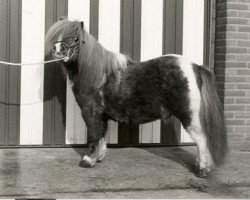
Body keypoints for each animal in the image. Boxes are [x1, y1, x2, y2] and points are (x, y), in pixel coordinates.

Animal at [44, 19, 227, 177]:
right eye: (58, 36)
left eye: (76, 38)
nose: (57, 49)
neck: (97, 75)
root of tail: (195, 67)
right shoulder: (102, 116)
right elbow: (102, 135)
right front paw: (99, 157)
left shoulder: (92, 114)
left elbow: (94, 135)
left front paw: (88, 161)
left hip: (190, 116)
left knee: (201, 140)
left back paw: (202, 170)